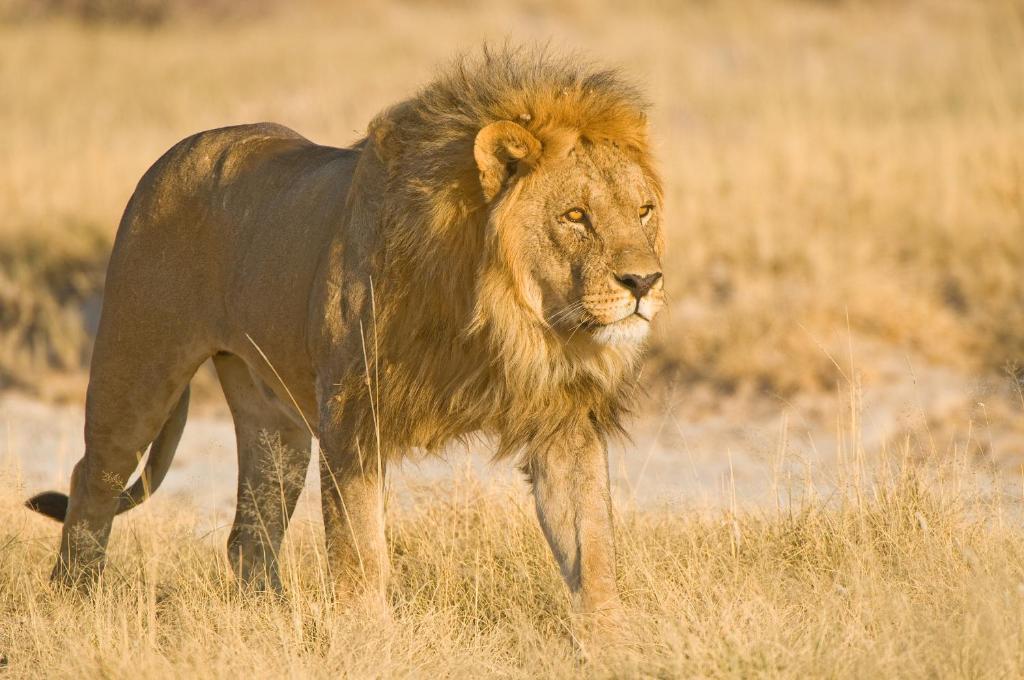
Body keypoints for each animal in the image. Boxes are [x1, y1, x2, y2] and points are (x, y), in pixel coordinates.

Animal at [25, 45, 663, 618]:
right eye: (575, 216)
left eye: (644, 212)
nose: (645, 281)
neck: (499, 318)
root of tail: (180, 149)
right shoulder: (354, 419)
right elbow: (360, 557)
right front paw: (367, 645)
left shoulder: (565, 419)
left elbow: (592, 552)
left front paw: (612, 645)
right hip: (136, 368)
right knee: (93, 480)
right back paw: (75, 602)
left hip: (274, 422)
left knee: (249, 533)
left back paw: (270, 621)